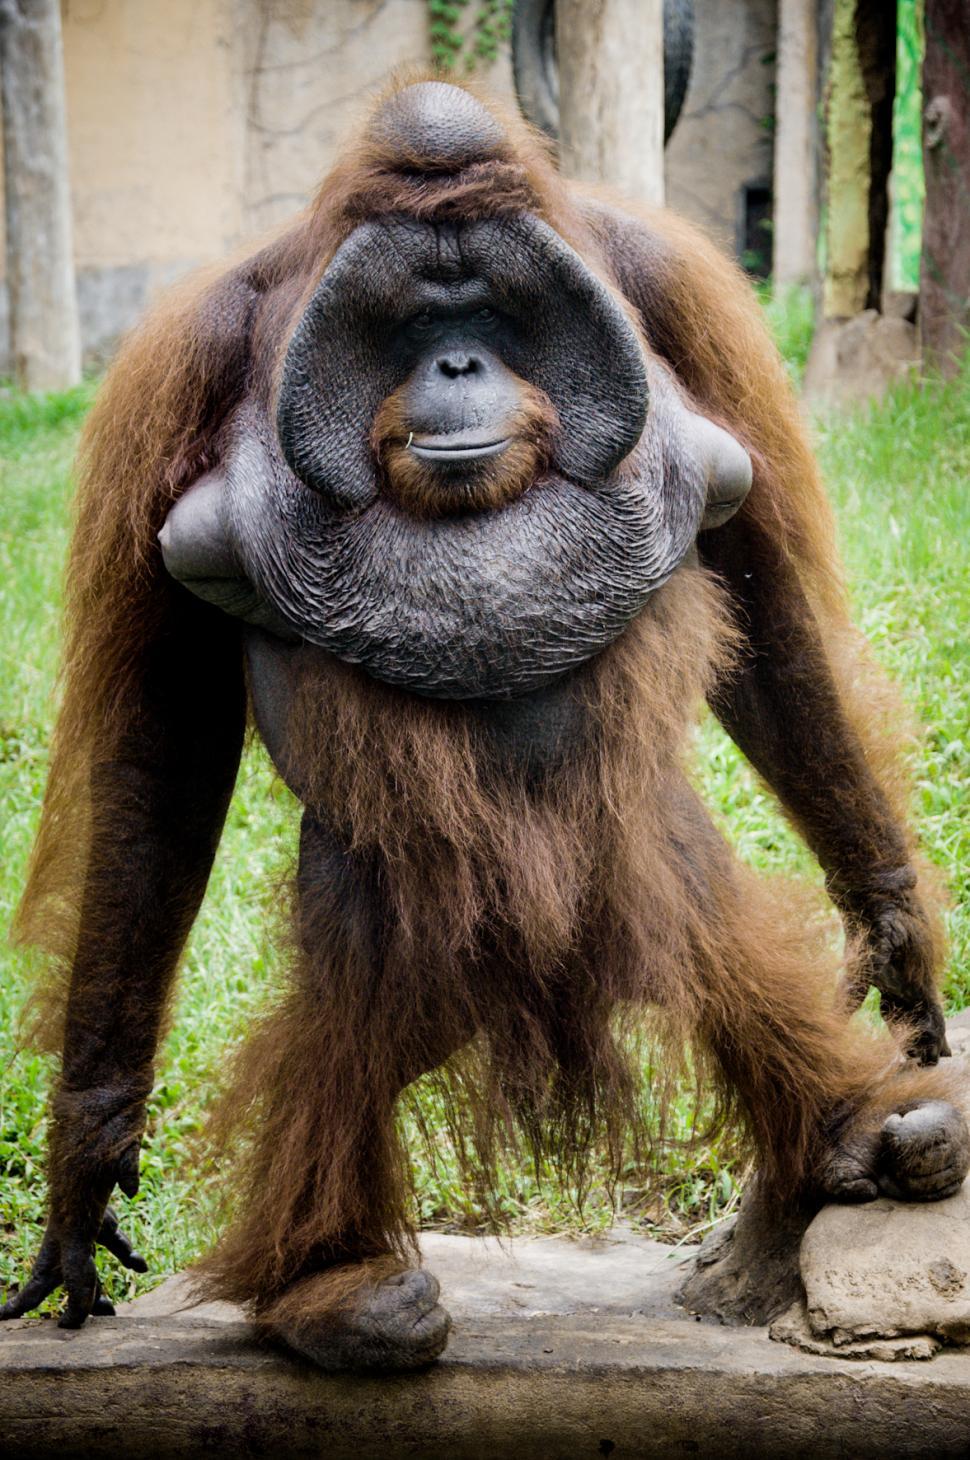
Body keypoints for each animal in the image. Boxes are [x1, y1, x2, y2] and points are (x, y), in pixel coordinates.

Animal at [2, 77, 966, 1372]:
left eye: (495, 316)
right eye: (416, 323)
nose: (458, 360)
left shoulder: (672, 284)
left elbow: (766, 610)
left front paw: (893, 924)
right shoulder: (178, 364)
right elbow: (160, 744)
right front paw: (89, 1156)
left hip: (625, 862)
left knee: (709, 916)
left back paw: (856, 1133)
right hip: (392, 910)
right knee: (341, 1037)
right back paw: (337, 1286)